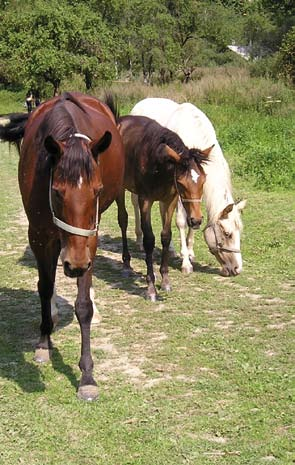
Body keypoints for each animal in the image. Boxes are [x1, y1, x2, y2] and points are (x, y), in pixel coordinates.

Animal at [0, 92, 125, 400]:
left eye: (97, 190)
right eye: (57, 191)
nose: (76, 264)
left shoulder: (88, 238)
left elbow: (83, 305)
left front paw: (87, 375)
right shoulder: (39, 234)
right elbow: (44, 287)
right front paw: (44, 342)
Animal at [106, 97, 210, 300]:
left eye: (203, 180)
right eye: (182, 183)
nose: (196, 220)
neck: (158, 165)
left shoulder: (169, 200)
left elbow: (165, 236)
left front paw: (166, 280)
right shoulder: (145, 200)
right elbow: (149, 239)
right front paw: (151, 287)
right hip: (120, 188)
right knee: (123, 219)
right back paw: (126, 264)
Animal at [132, 97, 247, 276]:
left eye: (239, 232)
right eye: (227, 234)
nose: (237, 269)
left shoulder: (195, 192)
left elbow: (194, 221)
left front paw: (190, 252)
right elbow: (181, 221)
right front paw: (186, 262)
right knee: (136, 204)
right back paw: (139, 240)